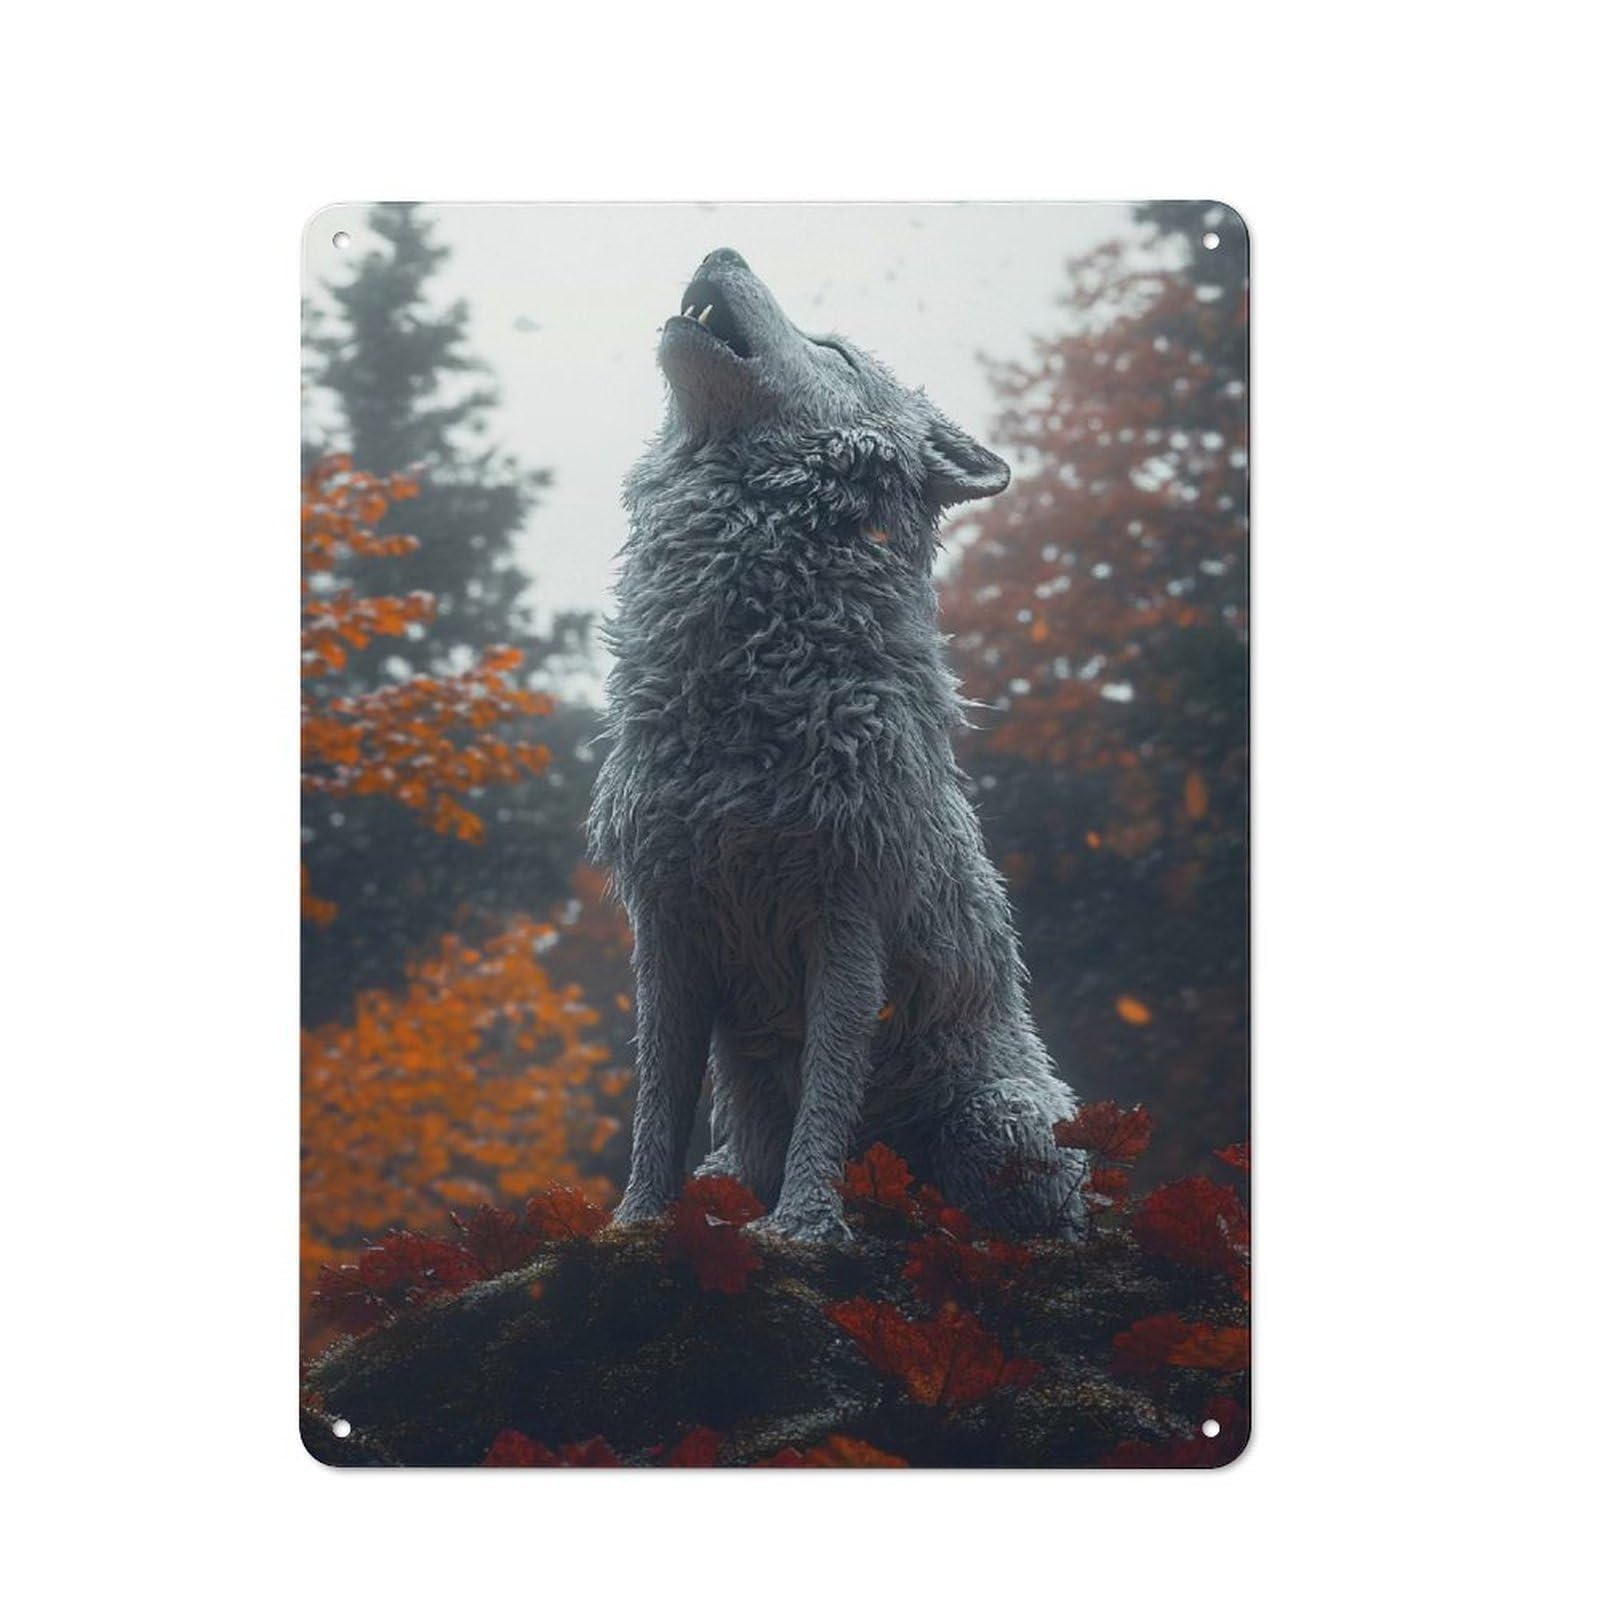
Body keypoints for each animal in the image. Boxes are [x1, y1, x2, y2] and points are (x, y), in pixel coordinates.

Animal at [589, 248, 1086, 1244]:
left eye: (834, 351)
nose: (721, 252)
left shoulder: (848, 915)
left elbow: (828, 1090)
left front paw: (803, 1228)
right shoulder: (665, 923)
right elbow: (656, 1102)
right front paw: (634, 1226)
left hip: (992, 1126)